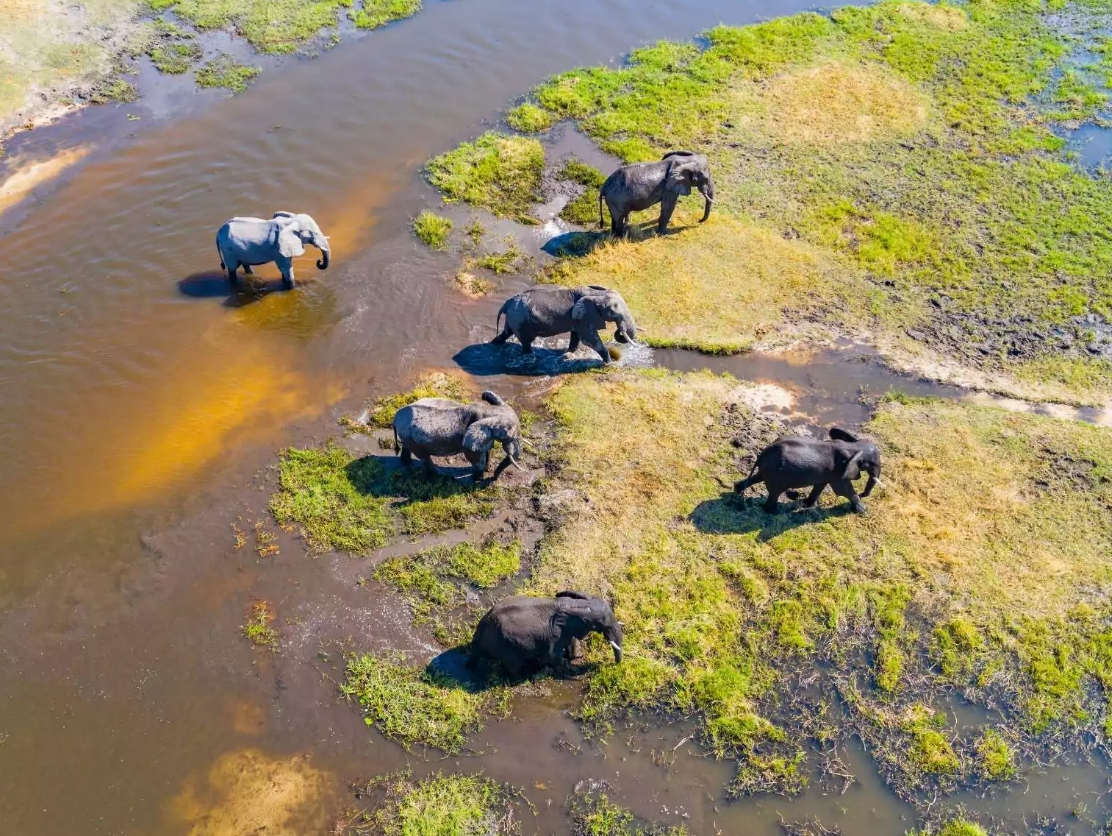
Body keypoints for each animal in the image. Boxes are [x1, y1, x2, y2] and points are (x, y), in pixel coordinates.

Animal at [393, 391, 527, 480]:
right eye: (510, 436)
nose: (493, 478)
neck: (491, 411)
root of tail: (395, 418)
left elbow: (487, 450)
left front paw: (485, 471)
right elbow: (476, 457)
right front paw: (477, 480)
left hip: (407, 435)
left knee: (408, 449)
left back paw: (408, 464)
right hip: (412, 439)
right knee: (425, 457)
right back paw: (444, 476)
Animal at [467, 586, 627, 680]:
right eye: (601, 624)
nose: (615, 665)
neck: (578, 605)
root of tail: (481, 628)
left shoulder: (567, 629)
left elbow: (571, 642)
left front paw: (575, 657)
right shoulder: (555, 633)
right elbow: (552, 656)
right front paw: (570, 669)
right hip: (505, 645)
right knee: (514, 666)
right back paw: (524, 676)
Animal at [493, 284, 640, 362]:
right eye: (614, 311)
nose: (619, 330)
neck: (596, 293)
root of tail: (507, 303)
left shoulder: (578, 317)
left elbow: (576, 336)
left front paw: (568, 355)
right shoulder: (585, 316)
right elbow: (589, 339)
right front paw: (610, 363)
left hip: (513, 318)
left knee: (506, 333)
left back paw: (494, 344)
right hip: (518, 319)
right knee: (525, 341)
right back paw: (531, 357)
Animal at [733, 426, 880, 513]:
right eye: (872, 463)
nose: (862, 494)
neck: (854, 446)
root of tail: (763, 453)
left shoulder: (830, 472)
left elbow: (820, 485)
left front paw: (809, 505)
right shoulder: (840, 471)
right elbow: (843, 490)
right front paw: (864, 511)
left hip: (768, 470)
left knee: (758, 478)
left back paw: (737, 489)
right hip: (776, 475)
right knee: (775, 493)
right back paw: (774, 513)